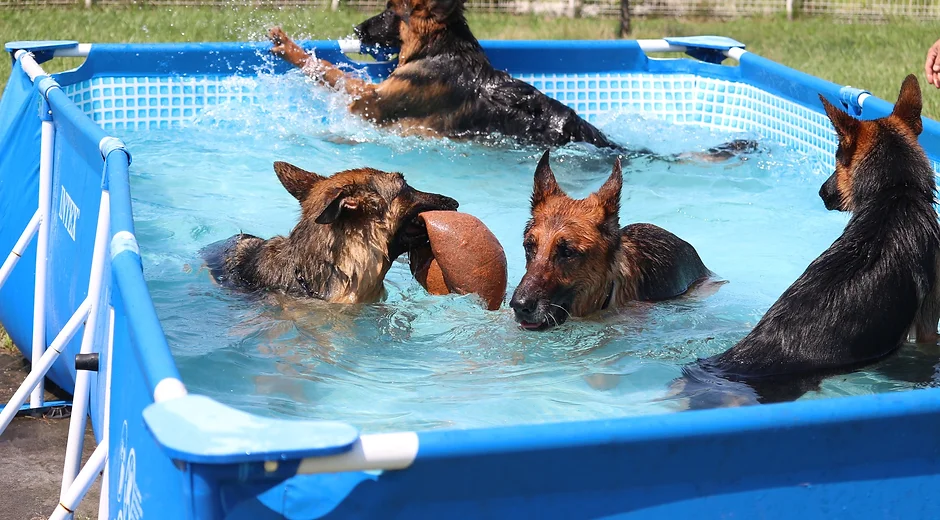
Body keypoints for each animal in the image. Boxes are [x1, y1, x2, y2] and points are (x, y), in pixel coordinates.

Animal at [264, 0, 756, 159]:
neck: (443, 48)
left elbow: (328, 71)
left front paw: (289, 48)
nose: (357, 30)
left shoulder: (370, 102)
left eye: (390, 12)